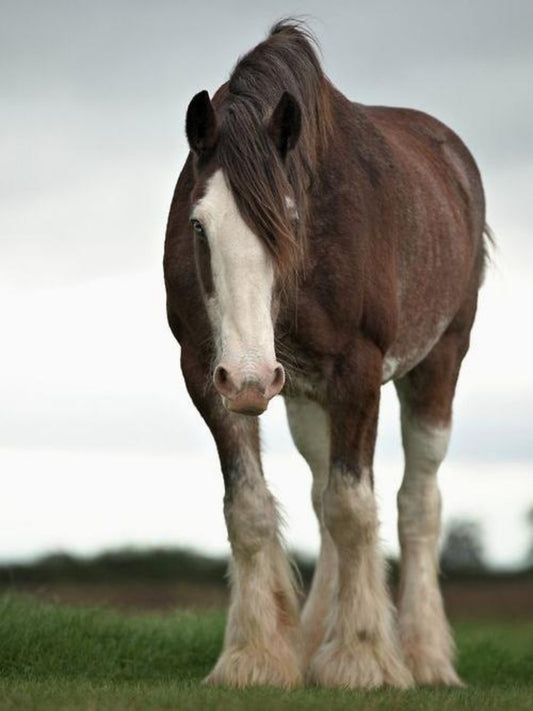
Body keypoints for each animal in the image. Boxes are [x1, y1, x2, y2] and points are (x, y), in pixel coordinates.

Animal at [163, 21, 488, 689]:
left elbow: (354, 508)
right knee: (320, 496)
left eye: (290, 219)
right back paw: (314, 640)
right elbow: (252, 509)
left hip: (438, 361)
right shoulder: (206, 373)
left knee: (419, 502)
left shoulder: (357, 371)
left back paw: (425, 655)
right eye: (199, 226)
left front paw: (364, 659)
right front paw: (256, 657)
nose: (252, 378)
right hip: (304, 398)